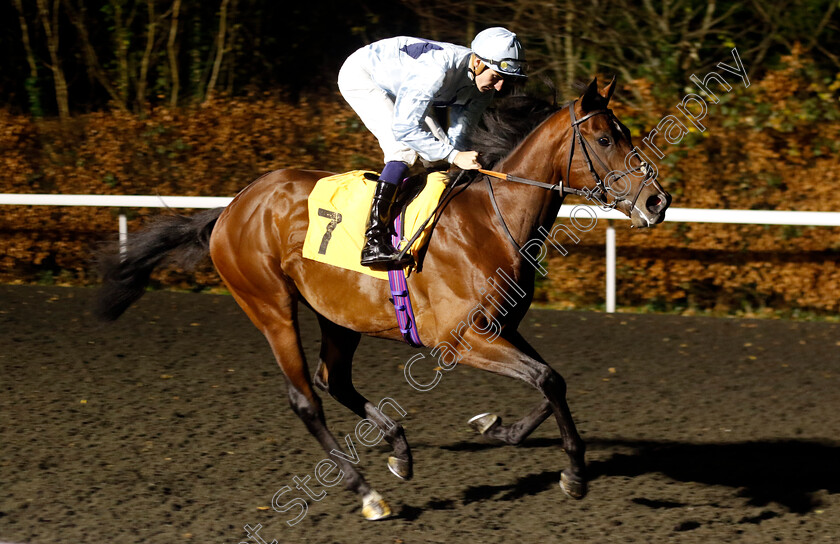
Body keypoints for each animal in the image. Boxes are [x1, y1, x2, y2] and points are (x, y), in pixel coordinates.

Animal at [97, 78, 676, 520]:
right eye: (604, 138)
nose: (657, 201)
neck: (491, 223)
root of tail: (232, 207)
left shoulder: (502, 328)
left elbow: (550, 380)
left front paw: (497, 427)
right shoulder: (460, 340)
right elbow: (548, 379)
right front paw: (574, 473)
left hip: (337, 314)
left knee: (334, 380)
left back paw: (398, 448)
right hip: (270, 306)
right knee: (305, 398)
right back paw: (367, 492)